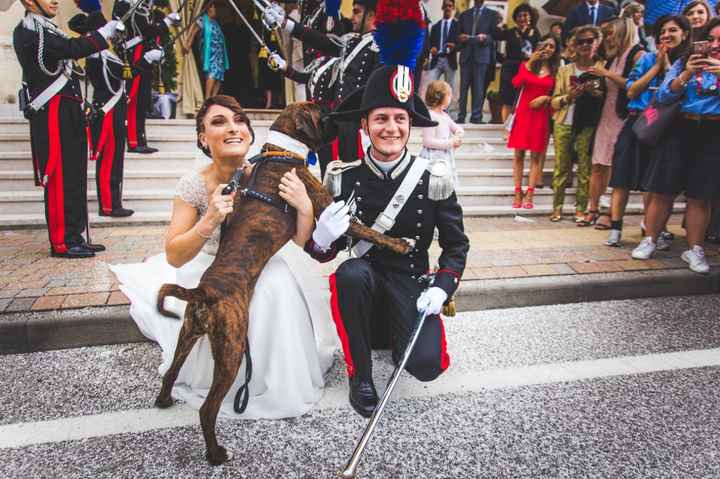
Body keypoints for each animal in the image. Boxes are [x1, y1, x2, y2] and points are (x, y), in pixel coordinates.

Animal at [154, 103, 408, 466]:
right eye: (323, 114)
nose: (344, 124)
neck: (281, 153)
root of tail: (205, 291)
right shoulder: (330, 210)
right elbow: (370, 231)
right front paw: (400, 243)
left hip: (188, 332)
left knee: (172, 371)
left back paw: (164, 400)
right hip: (231, 351)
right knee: (207, 409)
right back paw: (215, 453)